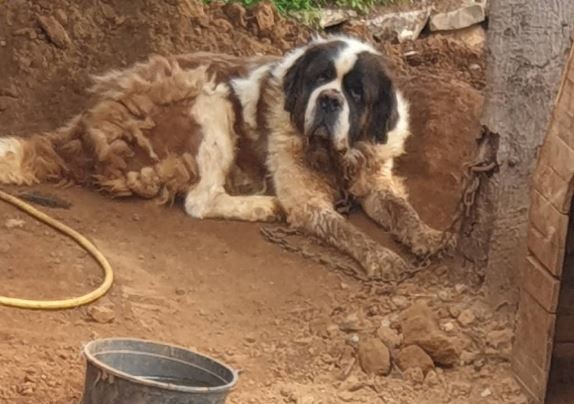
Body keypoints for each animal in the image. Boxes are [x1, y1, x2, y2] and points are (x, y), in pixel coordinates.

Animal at [0, 35, 456, 280]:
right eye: (320, 79)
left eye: (357, 93)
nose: (329, 100)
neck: (334, 156)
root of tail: (83, 126)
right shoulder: (308, 203)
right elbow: (347, 231)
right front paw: (383, 258)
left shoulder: (376, 176)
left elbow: (400, 210)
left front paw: (430, 237)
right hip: (210, 97)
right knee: (200, 201)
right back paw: (264, 206)